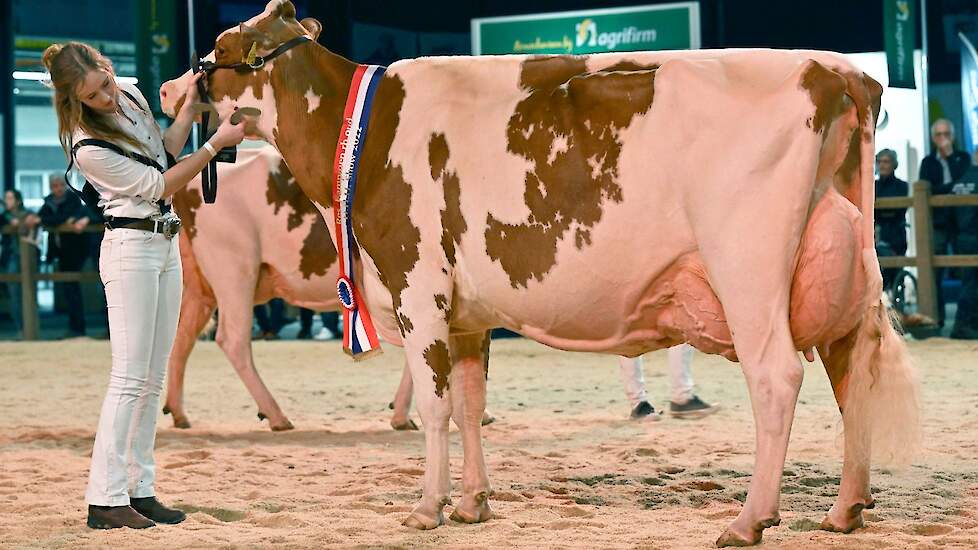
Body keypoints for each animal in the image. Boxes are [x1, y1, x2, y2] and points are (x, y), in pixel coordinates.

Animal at [162, 2, 924, 548]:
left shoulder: (417, 288)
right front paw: (473, 503)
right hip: (843, 273)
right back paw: (846, 509)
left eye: (217, 51)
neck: (363, 135)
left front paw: (427, 507)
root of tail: (836, 71)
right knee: (853, 372)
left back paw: (749, 520)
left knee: (778, 379)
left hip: (748, 270)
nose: (169, 86)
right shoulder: (467, 313)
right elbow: (469, 404)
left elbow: (435, 406)